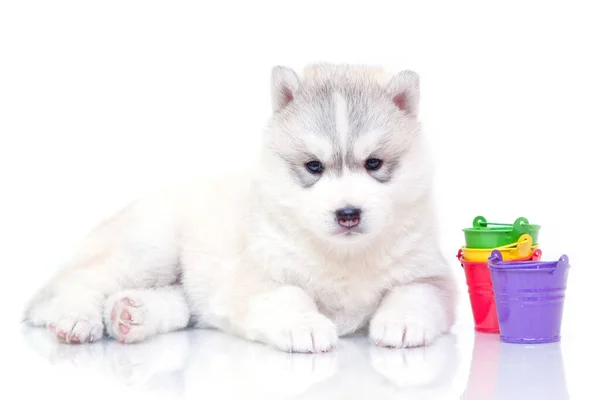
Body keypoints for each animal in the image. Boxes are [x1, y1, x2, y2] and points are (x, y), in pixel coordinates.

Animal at [22, 63, 454, 354]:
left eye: (374, 164)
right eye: (313, 166)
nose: (348, 213)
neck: (344, 255)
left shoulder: (430, 274)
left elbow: (414, 293)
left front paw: (402, 322)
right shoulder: (256, 277)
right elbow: (288, 296)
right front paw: (305, 326)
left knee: (179, 303)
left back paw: (130, 314)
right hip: (150, 248)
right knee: (75, 284)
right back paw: (76, 319)